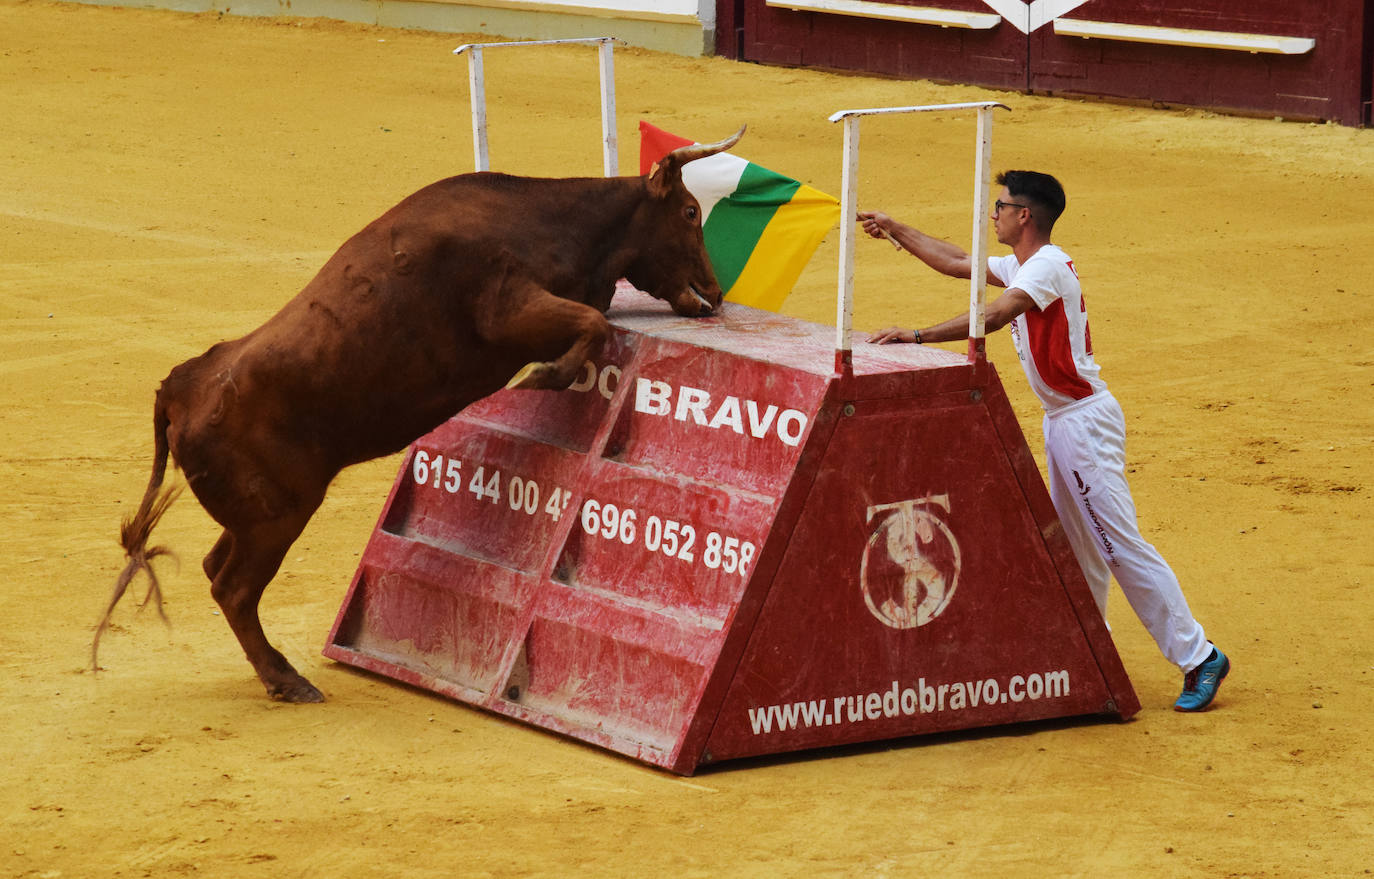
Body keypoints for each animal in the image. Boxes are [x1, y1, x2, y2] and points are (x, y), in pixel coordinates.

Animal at [95, 127, 747, 703]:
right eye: (690, 212)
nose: (714, 295)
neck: (551, 220)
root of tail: (181, 387)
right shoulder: (508, 308)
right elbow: (591, 324)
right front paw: (542, 377)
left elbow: (595, 319)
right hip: (277, 517)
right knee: (234, 589)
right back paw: (288, 680)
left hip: (256, 516)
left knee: (216, 570)